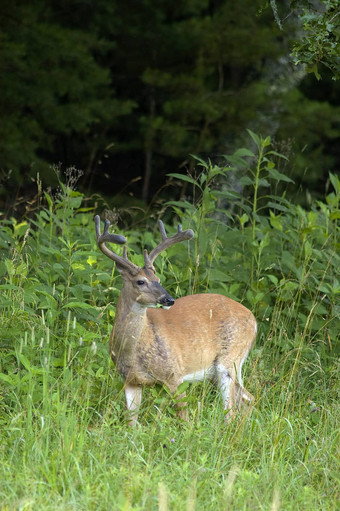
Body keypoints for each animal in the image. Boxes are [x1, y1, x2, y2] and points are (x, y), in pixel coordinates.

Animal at [93, 215, 255, 424]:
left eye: (158, 279)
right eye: (140, 281)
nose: (168, 299)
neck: (133, 350)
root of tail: (253, 320)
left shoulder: (174, 375)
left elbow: (183, 417)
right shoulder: (130, 380)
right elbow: (131, 422)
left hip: (229, 360)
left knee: (232, 409)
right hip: (225, 369)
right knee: (248, 398)